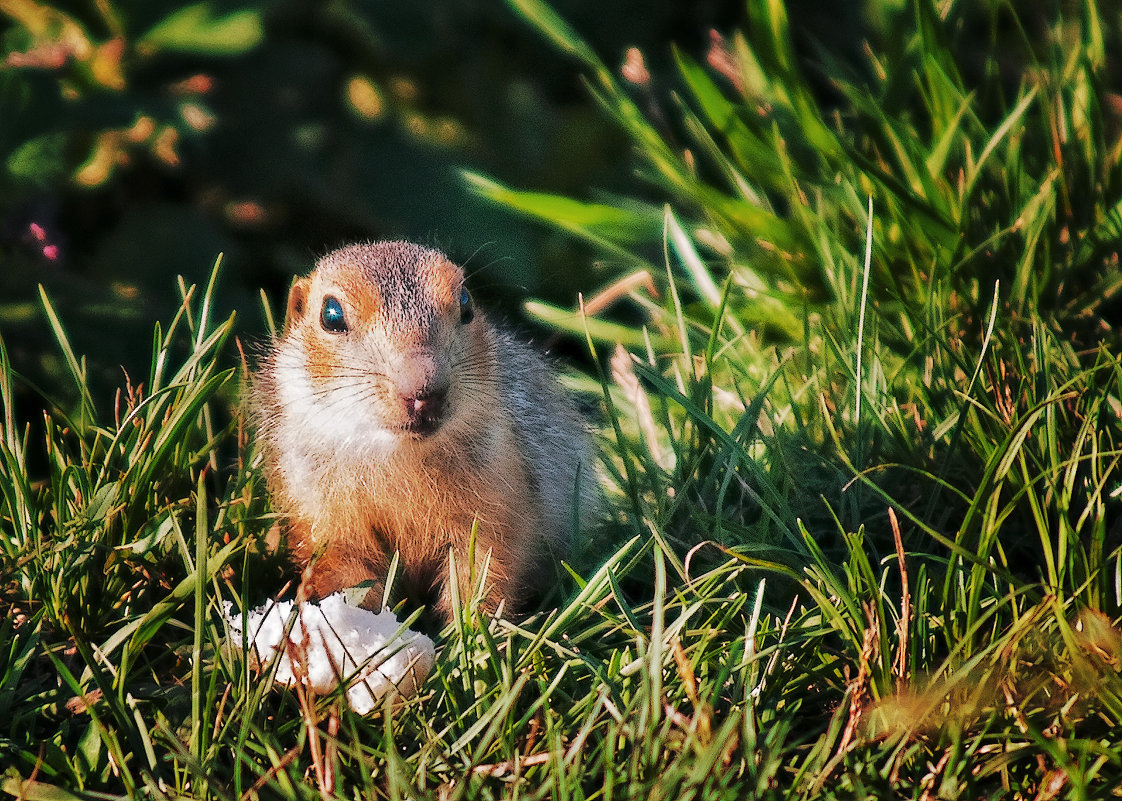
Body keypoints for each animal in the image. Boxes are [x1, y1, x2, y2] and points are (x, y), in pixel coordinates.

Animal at [251, 242, 601, 619]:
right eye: (331, 315)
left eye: (465, 302)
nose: (423, 390)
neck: (396, 456)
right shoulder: (326, 520)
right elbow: (349, 574)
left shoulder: (497, 510)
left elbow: (483, 575)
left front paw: (471, 629)